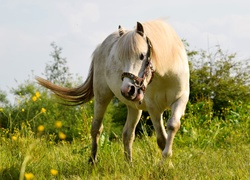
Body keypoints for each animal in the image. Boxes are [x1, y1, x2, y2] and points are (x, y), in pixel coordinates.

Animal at [36, 19, 189, 165]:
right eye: (120, 58)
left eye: (141, 56)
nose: (128, 90)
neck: (165, 74)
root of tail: (100, 47)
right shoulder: (154, 108)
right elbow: (162, 139)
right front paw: (165, 165)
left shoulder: (180, 100)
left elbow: (172, 126)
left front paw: (167, 163)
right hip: (102, 97)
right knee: (96, 128)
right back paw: (92, 161)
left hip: (134, 107)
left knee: (128, 134)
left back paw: (129, 164)